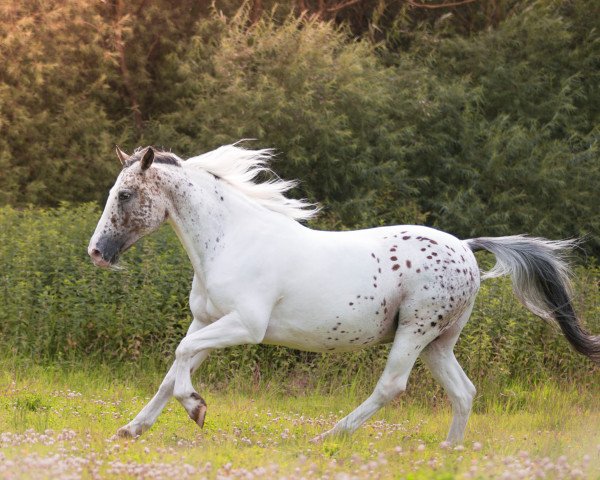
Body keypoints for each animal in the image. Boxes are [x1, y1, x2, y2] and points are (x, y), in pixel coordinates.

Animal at [86, 144, 596, 444]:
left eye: (126, 195)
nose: (97, 252)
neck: (229, 240)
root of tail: (466, 248)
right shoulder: (208, 321)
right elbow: (173, 369)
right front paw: (132, 428)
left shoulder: (244, 326)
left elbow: (180, 357)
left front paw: (197, 408)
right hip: (439, 343)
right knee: (464, 392)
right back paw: (448, 451)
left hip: (415, 331)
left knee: (391, 386)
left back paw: (328, 436)